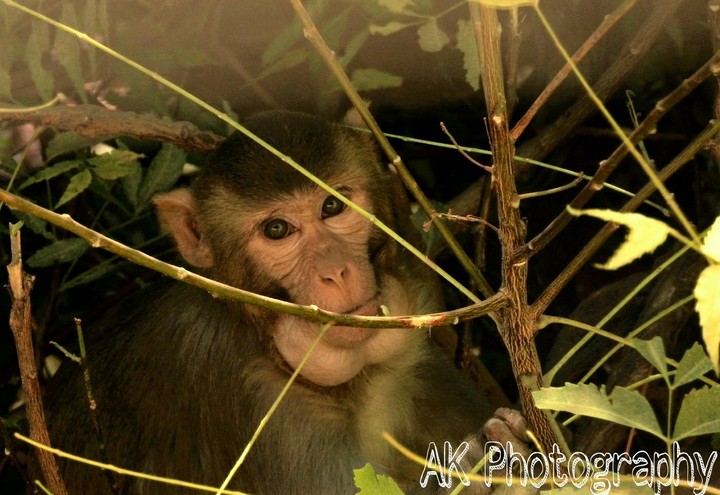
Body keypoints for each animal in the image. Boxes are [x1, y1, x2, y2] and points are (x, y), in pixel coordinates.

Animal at [41, 111, 524, 495]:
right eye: (277, 230)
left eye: (333, 206)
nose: (335, 271)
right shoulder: (251, 396)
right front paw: (482, 473)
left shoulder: (408, 365)